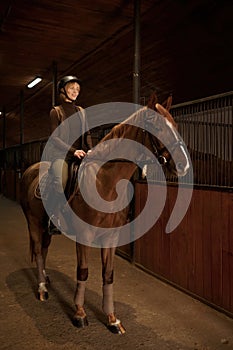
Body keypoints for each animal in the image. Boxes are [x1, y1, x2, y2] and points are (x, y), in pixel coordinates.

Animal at [20, 101, 190, 334]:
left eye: (175, 125)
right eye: (156, 126)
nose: (184, 165)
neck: (104, 181)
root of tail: (29, 170)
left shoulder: (111, 237)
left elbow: (108, 274)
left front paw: (112, 319)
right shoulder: (84, 235)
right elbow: (83, 272)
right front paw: (80, 313)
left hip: (45, 227)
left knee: (44, 250)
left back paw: (46, 278)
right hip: (33, 222)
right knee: (38, 251)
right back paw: (42, 288)